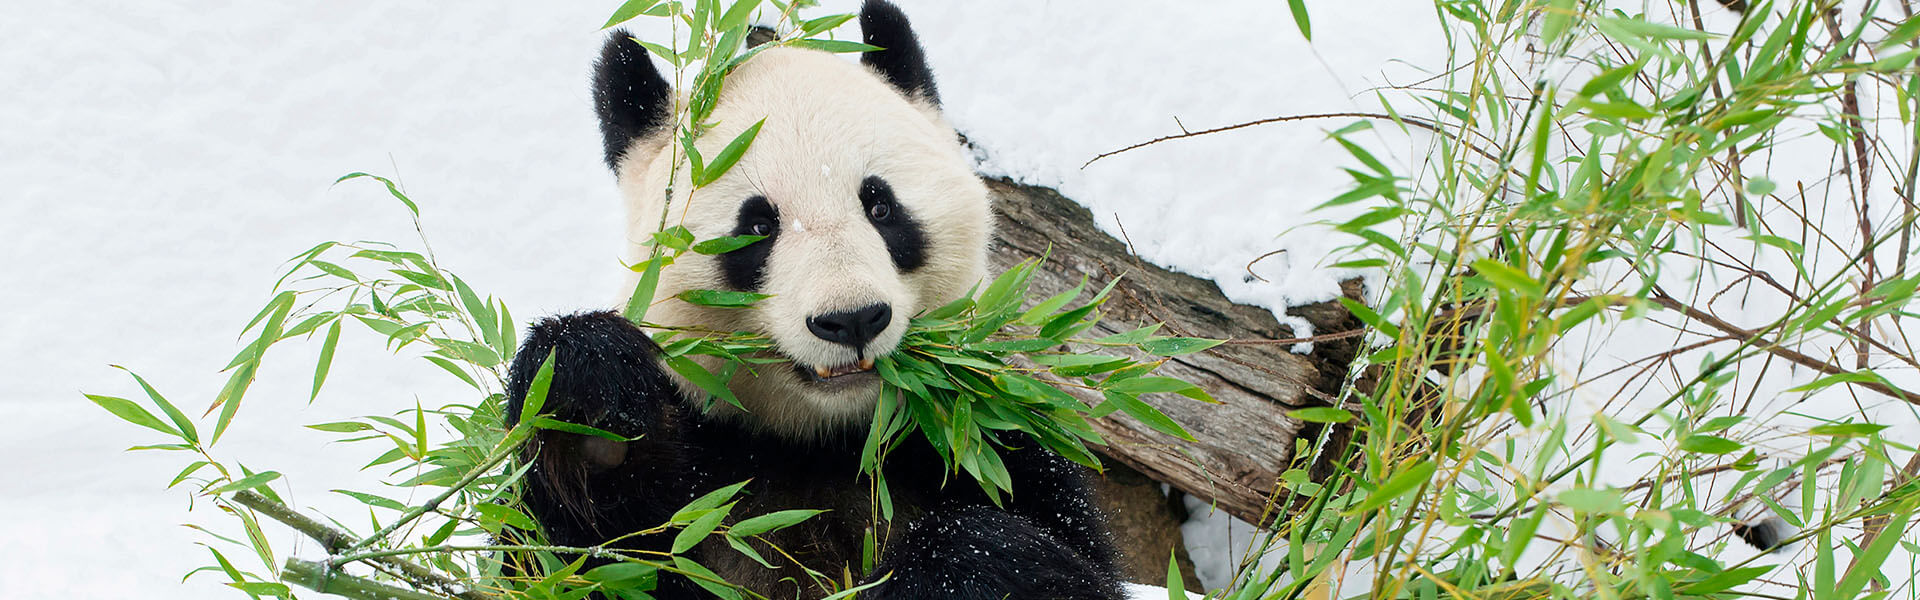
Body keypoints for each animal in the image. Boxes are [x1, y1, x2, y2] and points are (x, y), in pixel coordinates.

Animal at [502, 2, 1125, 599]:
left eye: (881, 206)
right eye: (757, 227)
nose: (852, 320)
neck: (828, 437)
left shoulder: (982, 428)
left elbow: (1055, 554)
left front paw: (962, 559)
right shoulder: (707, 468)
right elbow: (579, 559)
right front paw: (591, 405)